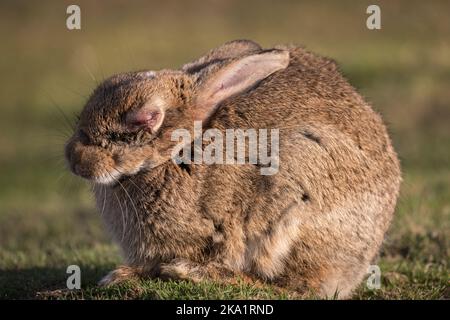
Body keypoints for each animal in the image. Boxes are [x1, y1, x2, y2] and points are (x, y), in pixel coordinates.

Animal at [64, 39, 400, 298]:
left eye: (143, 119)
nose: (74, 157)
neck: (178, 151)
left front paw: (125, 276)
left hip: (301, 191)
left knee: (296, 287)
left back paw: (191, 272)